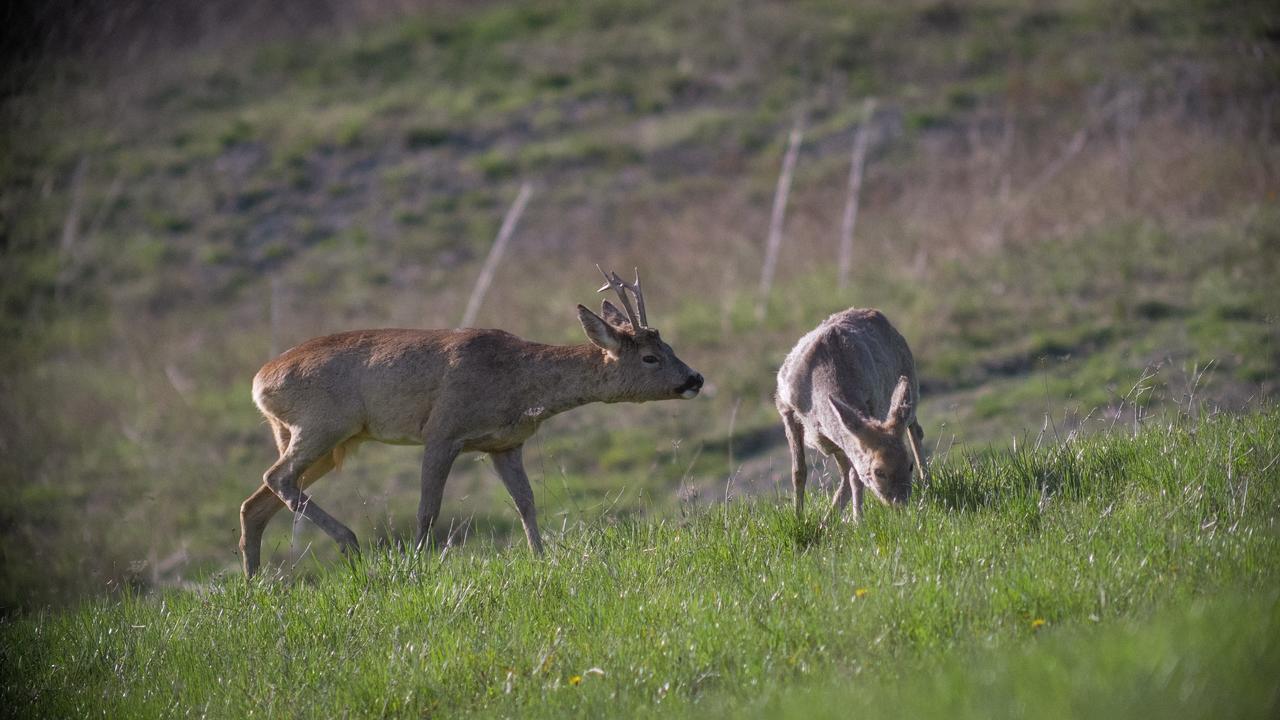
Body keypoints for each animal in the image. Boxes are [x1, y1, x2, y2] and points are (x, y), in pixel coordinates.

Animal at [238, 266, 701, 573]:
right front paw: (418, 567)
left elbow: (526, 502)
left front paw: (540, 557)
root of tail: (259, 381)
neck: (517, 380)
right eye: (650, 357)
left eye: (670, 347)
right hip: (322, 424)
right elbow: (428, 508)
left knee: (256, 502)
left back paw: (256, 584)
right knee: (276, 478)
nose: (695, 378)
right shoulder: (444, 430)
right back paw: (349, 543)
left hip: (321, 440)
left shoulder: (505, 443)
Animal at [773, 308, 926, 520]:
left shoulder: (872, 406)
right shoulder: (784, 405)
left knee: (914, 428)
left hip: (910, 377)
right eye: (879, 472)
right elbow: (798, 471)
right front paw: (798, 517)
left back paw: (926, 481)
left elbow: (856, 475)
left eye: (909, 465)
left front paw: (857, 521)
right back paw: (826, 522)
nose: (901, 506)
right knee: (846, 473)